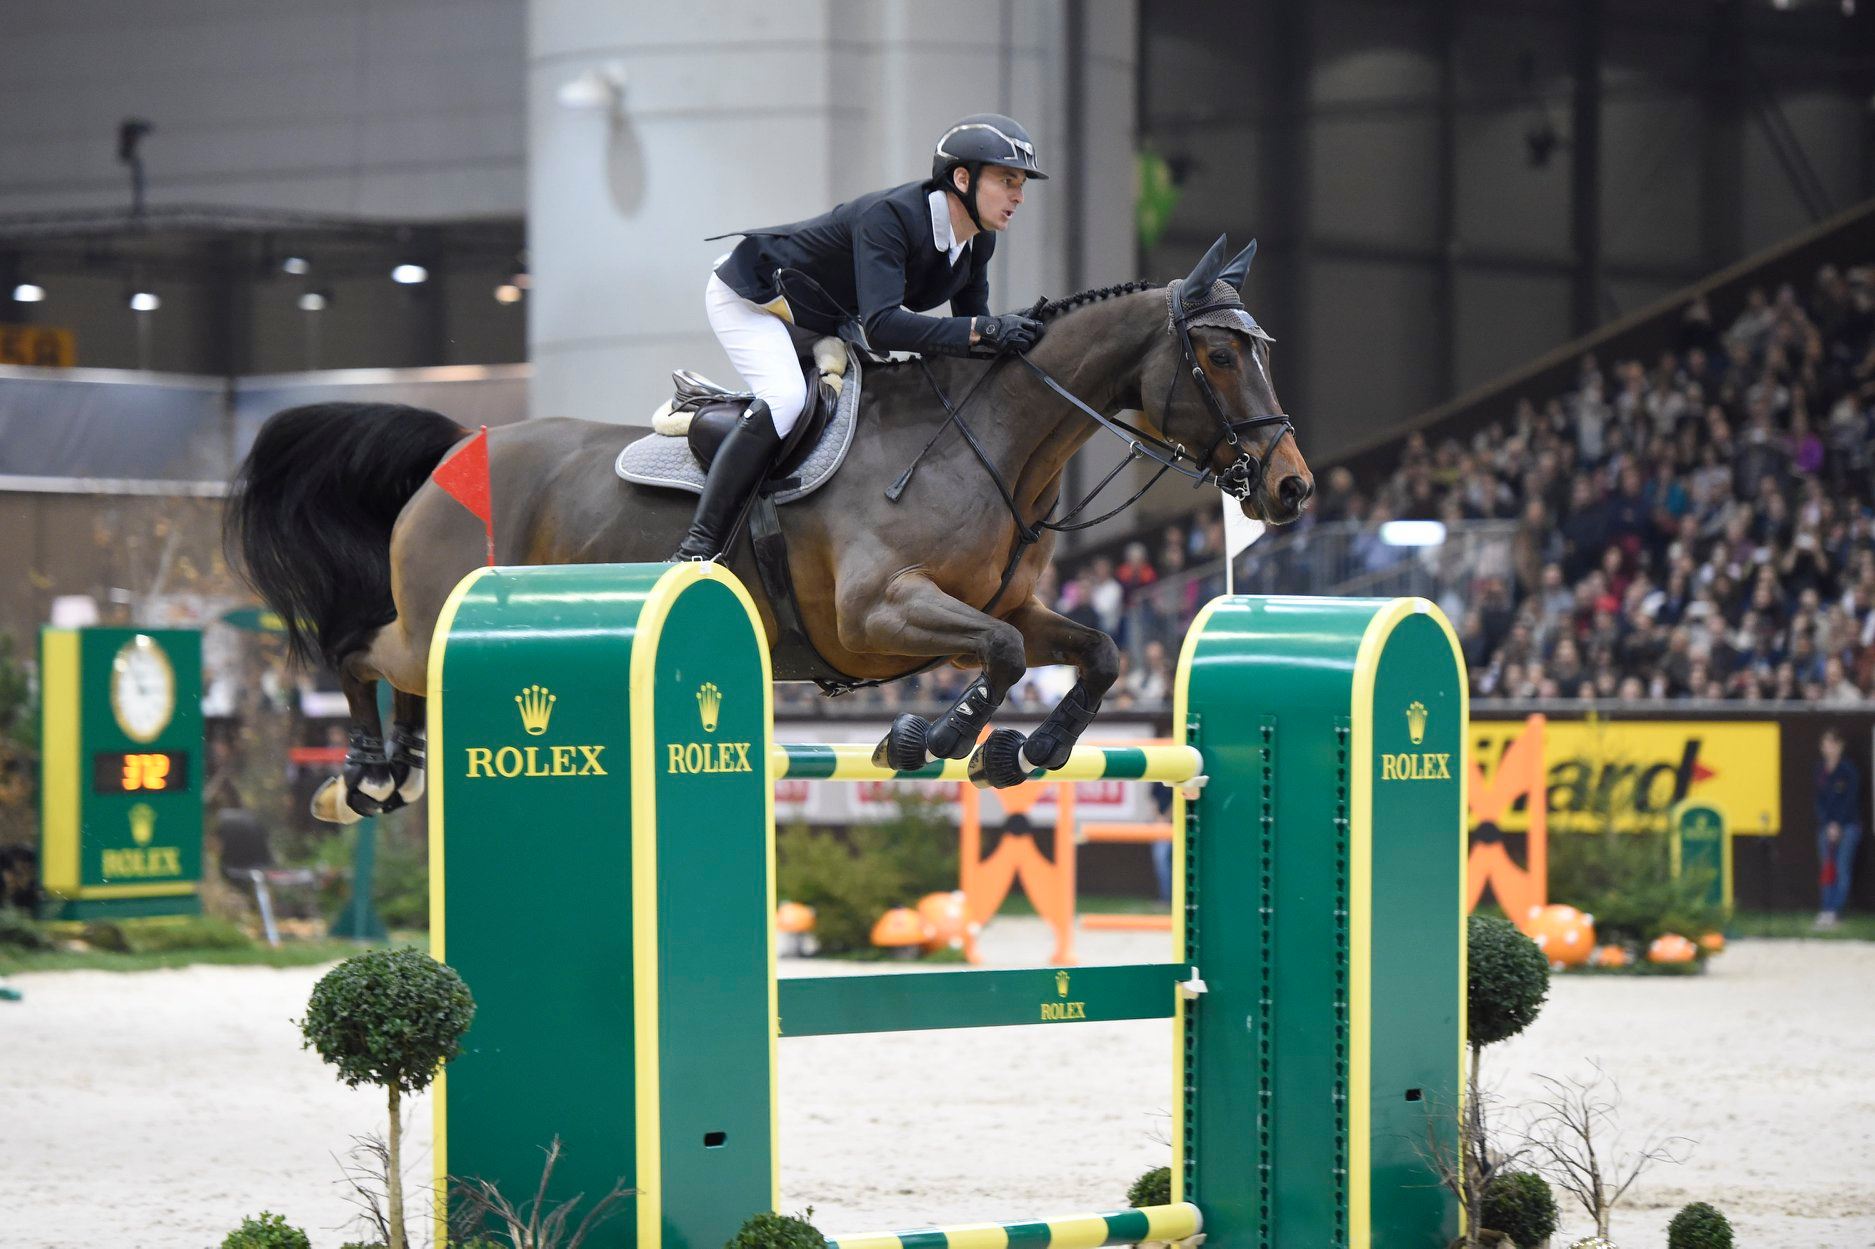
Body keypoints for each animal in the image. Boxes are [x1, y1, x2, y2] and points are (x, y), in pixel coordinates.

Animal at [226, 235, 1313, 822]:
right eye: (1220, 356)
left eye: (1261, 348)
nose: (1293, 488)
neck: (988, 443)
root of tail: (455, 453)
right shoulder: (878, 615)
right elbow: (999, 657)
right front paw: (930, 735)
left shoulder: (1012, 603)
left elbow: (1092, 652)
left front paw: (1023, 751)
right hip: (425, 618)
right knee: (359, 650)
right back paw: (364, 774)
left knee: (405, 675)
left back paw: (399, 771)